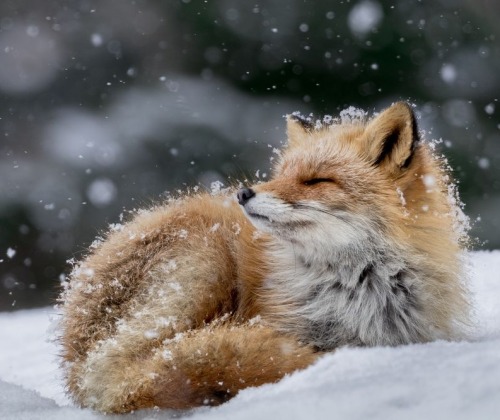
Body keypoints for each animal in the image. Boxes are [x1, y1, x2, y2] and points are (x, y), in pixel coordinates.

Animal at [57, 102, 468, 414]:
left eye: (317, 181)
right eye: (280, 174)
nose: (243, 193)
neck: (358, 290)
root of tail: (76, 365)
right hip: (205, 259)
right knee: (141, 372)